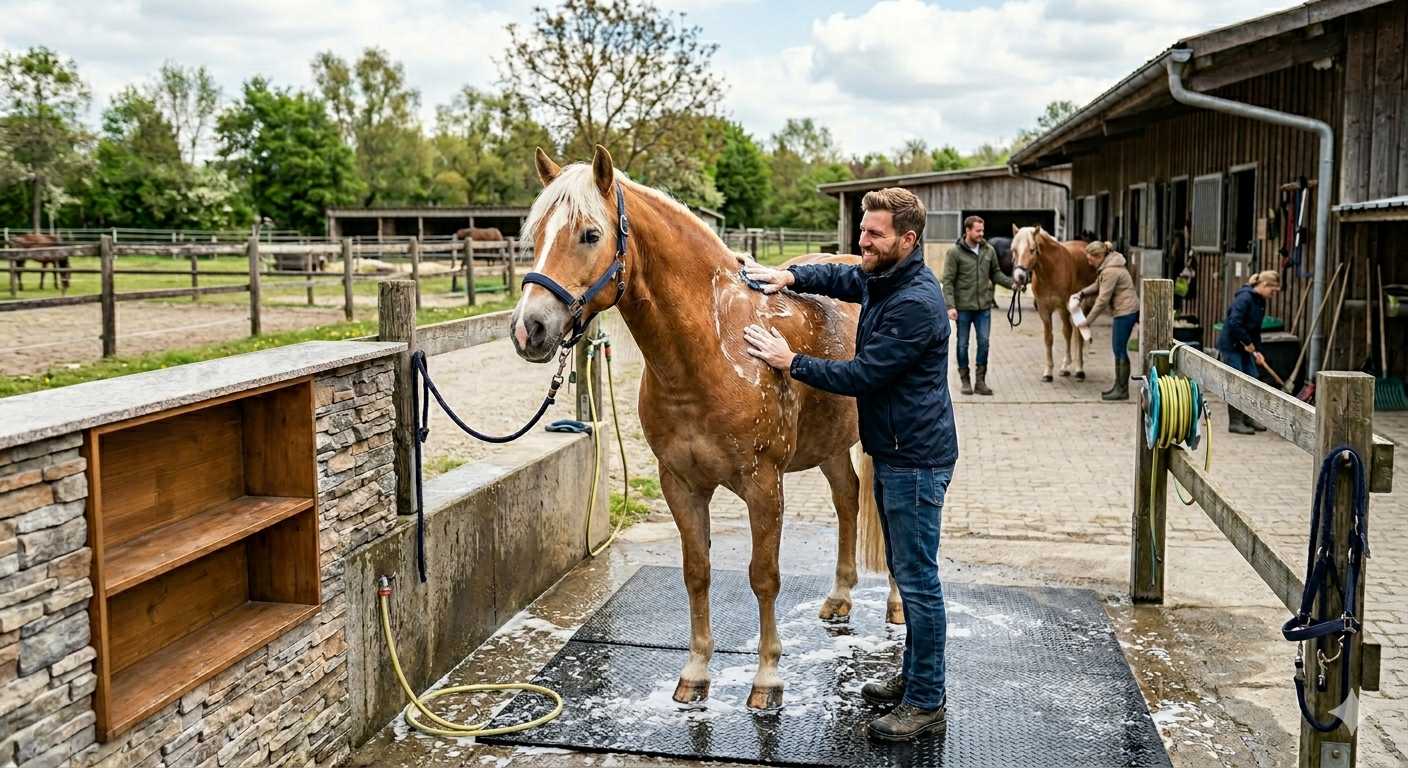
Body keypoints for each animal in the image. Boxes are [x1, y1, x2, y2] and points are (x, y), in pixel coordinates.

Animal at [510, 145, 897, 711]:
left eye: (589, 234)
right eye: (535, 234)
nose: (529, 329)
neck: (717, 344)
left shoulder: (764, 486)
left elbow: (764, 577)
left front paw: (767, 679)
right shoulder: (681, 484)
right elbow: (697, 574)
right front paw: (695, 674)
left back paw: (896, 606)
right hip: (828, 445)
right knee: (848, 501)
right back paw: (840, 598)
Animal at [1009, 225, 1096, 381]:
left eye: (1032, 249)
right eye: (1014, 249)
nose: (1019, 277)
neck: (1050, 271)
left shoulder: (1064, 306)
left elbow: (1070, 333)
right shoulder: (1044, 310)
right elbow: (1048, 339)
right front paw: (1048, 372)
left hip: (1081, 306)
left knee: (1077, 334)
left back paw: (1078, 369)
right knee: (1071, 332)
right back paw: (1066, 368)